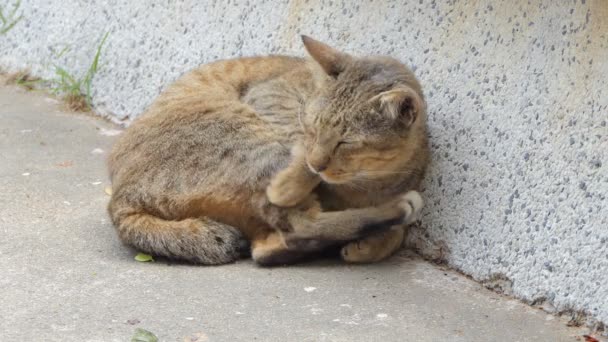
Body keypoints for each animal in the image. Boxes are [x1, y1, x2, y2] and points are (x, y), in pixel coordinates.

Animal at [107, 36, 430, 266]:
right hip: (249, 142)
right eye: (314, 126)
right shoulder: (272, 97)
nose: (316, 163)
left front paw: (373, 245)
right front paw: (292, 180)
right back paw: (397, 209)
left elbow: (396, 238)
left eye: (346, 142)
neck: (366, 184)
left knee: (269, 248)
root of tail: (120, 198)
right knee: (298, 228)